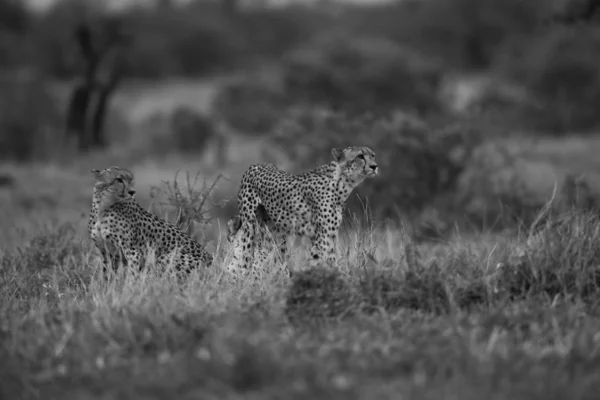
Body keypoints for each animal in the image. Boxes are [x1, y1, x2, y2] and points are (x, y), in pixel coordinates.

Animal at [227, 145, 378, 274]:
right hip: (250, 227)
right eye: (360, 156)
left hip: (276, 234)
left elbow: (321, 261)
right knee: (245, 258)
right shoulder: (323, 237)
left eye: (373, 155)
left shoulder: (324, 236)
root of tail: (255, 165)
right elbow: (327, 262)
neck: (341, 183)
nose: (374, 166)